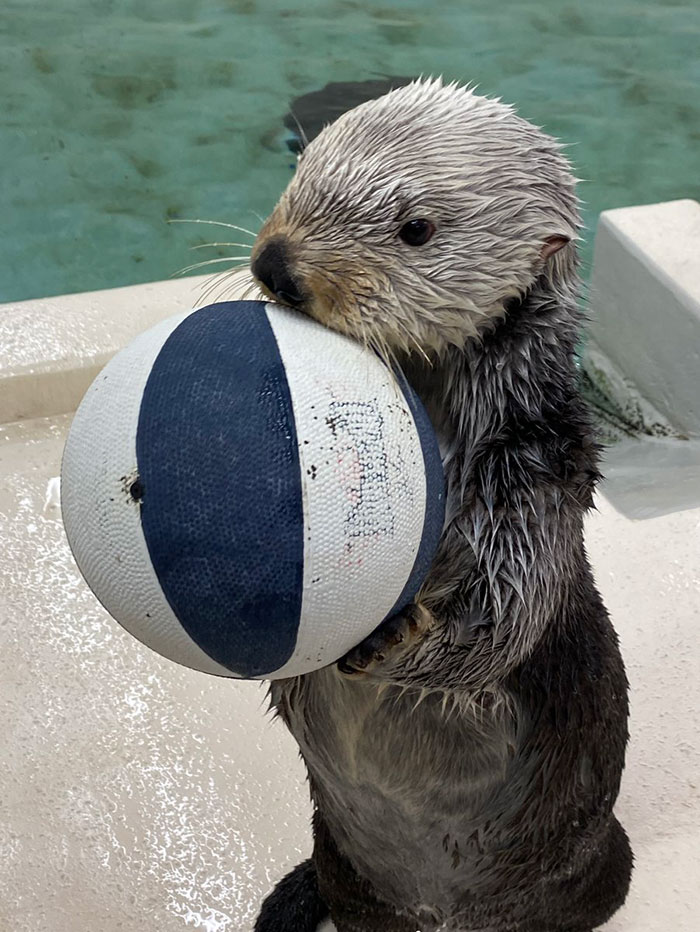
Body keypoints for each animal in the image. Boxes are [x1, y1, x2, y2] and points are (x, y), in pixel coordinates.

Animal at [249, 78, 632, 932]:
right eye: (306, 166)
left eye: (416, 229)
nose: (277, 266)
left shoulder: (535, 473)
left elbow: (503, 614)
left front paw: (391, 637)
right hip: (342, 867)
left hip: (593, 865)